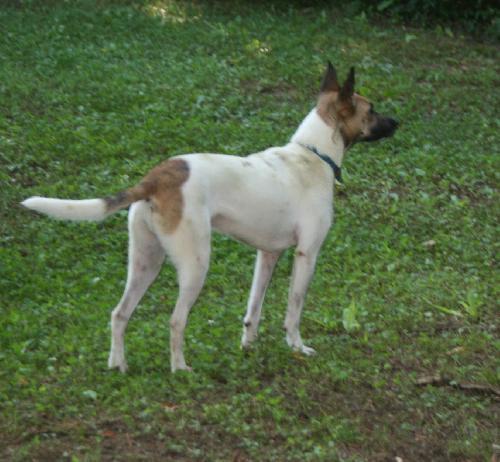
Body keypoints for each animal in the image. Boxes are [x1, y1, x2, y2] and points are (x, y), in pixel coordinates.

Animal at [20, 62, 398, 372]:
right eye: (372, 109)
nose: (398, 122)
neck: (313, 155)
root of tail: (155, 178)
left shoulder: (268, 254)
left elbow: (253, 307)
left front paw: (249, 345)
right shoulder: (307, 254)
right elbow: (294, 308)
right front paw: (297, 347)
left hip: (145, 263)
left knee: (119, 313)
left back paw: (118, 365)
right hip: (195, 265)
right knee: (175, 321)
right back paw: (179, 368)